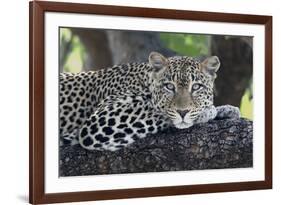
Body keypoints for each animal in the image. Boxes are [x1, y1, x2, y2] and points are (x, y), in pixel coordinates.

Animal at [59, 51, 238, 151]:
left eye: (196, 87)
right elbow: (158, 111)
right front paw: (207, 111)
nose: (183, 112)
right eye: (169, 86)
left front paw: (226, 109)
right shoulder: (99, 121)